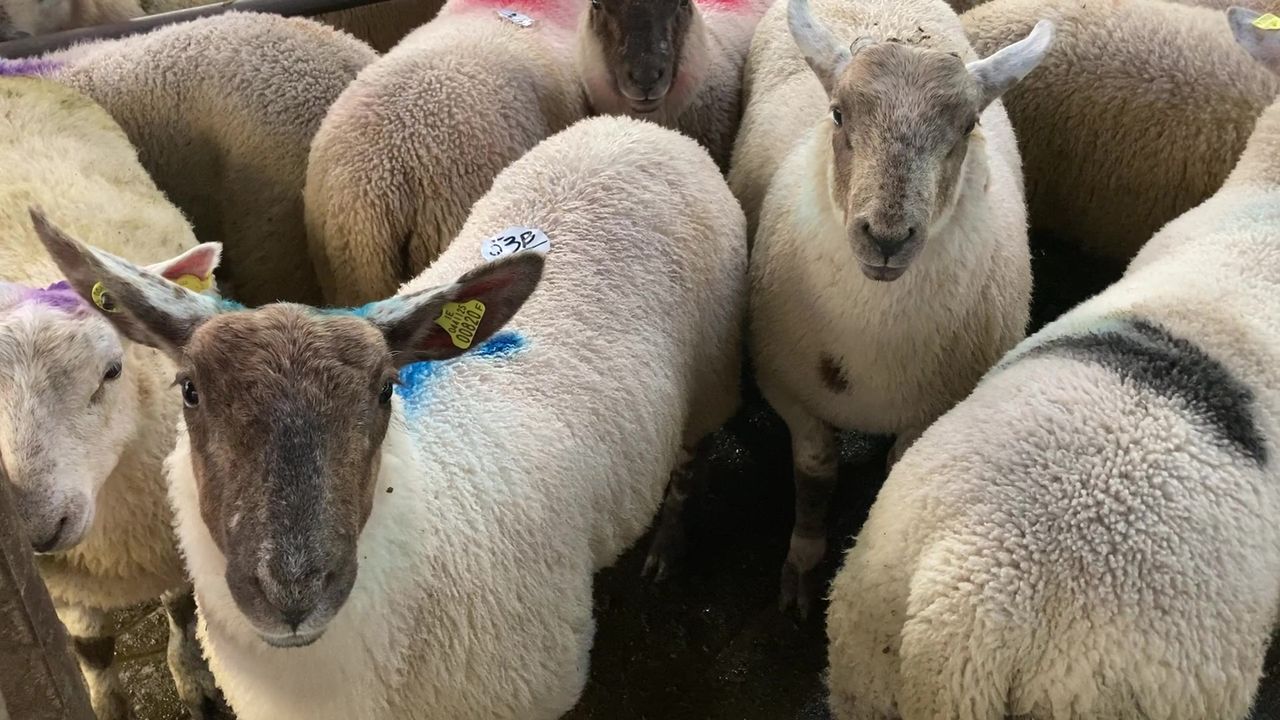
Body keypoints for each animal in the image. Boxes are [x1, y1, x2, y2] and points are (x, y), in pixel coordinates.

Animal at [0, 76, 226, 720]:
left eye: (112, 370)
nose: (32, 531)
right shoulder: (62, 591)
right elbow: (92, 651)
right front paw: (106, 702)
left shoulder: (172, 536)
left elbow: (181, 610)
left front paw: (193, 682)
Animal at [34, 114, 747, 720]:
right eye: (189, 391)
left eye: (385, 390)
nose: (292, 593)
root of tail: (636, 126)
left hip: (711, 385)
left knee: (689, 467)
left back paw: (665, 550)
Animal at [733, 0, 1052, 618]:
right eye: (837, 114)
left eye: (968, 126)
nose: (885, 238)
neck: (872, 339)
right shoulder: (787, 388)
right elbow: (815, 476)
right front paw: (803, 565)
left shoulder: (930, 411)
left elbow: (890, 478)